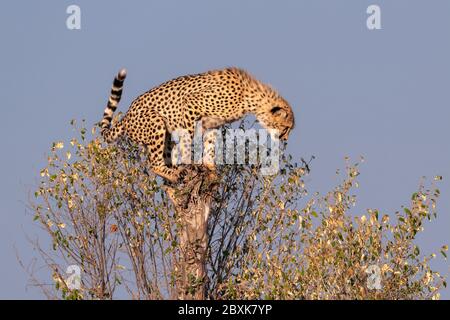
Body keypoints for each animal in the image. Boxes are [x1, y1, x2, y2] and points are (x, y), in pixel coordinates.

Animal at [100, 67, 294, 182]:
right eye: (286, 128)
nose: (285, 139)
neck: (250, 98)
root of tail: (125, 116)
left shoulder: (213, 123)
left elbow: (210, 145)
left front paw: (210, 168)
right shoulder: (191, 104)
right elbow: (188, 140)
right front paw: (190, 162)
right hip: (156, 122)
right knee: (154, 163)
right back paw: (174, 173)